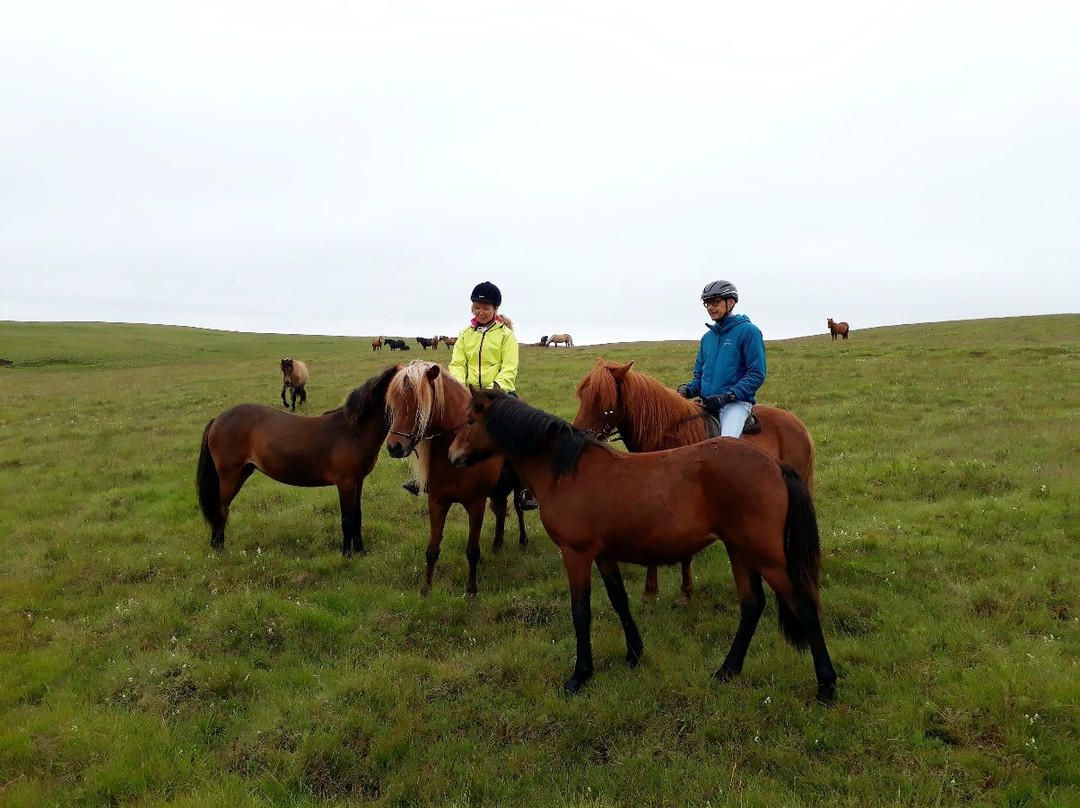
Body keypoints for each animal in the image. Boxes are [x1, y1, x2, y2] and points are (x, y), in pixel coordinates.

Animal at [196, 365, 399, 557]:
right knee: (221, 509)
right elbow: (348, 520)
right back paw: (219, 550)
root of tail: (217, 419)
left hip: (242, 472)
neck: (353, 431)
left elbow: (357, 517)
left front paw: (360, 552)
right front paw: (347, 555)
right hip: (229, 475)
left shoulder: (358, 481)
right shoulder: (346, 483)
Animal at [384, 360, 527, 600]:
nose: (394, 447)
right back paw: (497, 543)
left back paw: (523, 541)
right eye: (394, 402)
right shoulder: (437, 502)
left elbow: (472, 551)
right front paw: (426, 589)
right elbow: (432, 548)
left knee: (518, 507)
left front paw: (471, 592)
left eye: (418, 404)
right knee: (500, 510)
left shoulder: (475, 504)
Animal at [447, 388, 833, 699]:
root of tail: (774, 464)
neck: (566, 471)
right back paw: (727, 670)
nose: (451, 456)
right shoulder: (602, 554)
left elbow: (580, 613)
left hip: (767, 555)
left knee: (804, 605)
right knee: (752, 605)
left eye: (470, 420)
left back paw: (826, 685)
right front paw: (634, 653)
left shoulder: (576, 554)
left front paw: (580, 676)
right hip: (740, 549)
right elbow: (619, 600)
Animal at [570, 356, 812, 604]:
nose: (578, 434)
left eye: (601, 399)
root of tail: (797, 422)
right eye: (582, 395)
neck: (669, 439)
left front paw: (685, 593)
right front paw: (650, 590)